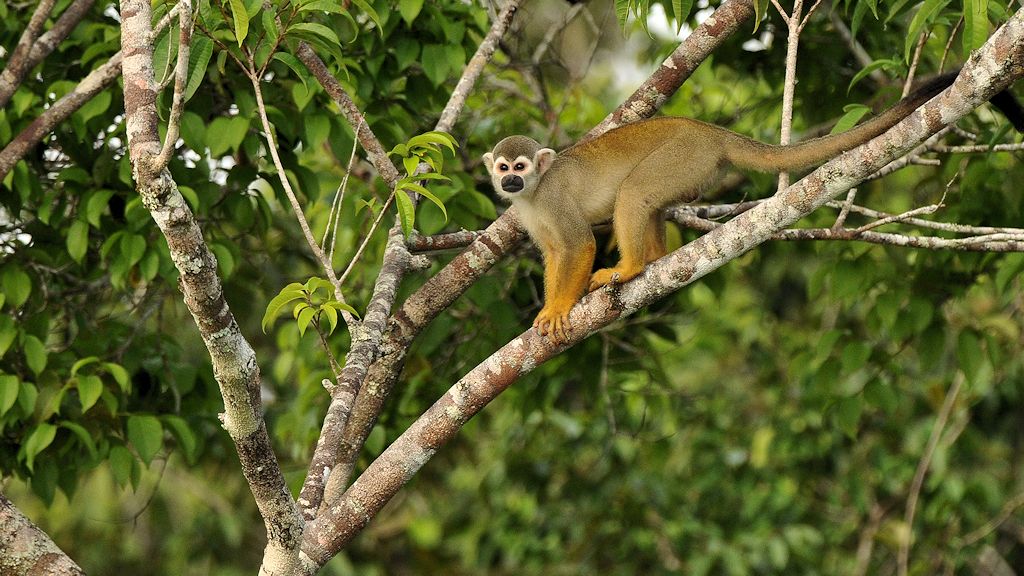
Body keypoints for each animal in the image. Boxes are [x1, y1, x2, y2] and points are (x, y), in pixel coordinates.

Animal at [483, 71, 1012, 342]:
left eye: (522, 166)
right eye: (503, 167)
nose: (509, 180)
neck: (534, 195)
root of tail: (711, 132)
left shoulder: (552, 196)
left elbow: (578, 245)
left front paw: (558, 309)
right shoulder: (526, 212)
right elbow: (556, 252)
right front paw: (548, 306)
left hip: (685, 156)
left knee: (634, 192)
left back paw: (631, 267)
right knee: (646, 200)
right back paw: (651, 259)